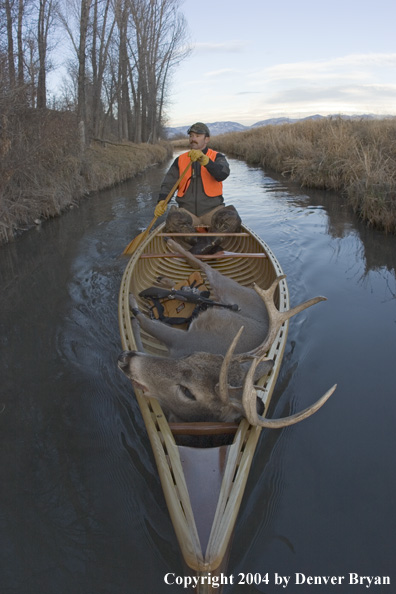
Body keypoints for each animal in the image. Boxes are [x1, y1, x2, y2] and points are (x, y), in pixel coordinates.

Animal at [118, 238, 338, 424]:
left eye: (188, 392)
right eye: (192, 356)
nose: (125, 358)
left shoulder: (181, 339)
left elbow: (144, 325)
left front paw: (132, 306)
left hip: (225, 288)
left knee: (203, 273)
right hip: (226, 286)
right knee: (203, 268)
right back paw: (171, 254)